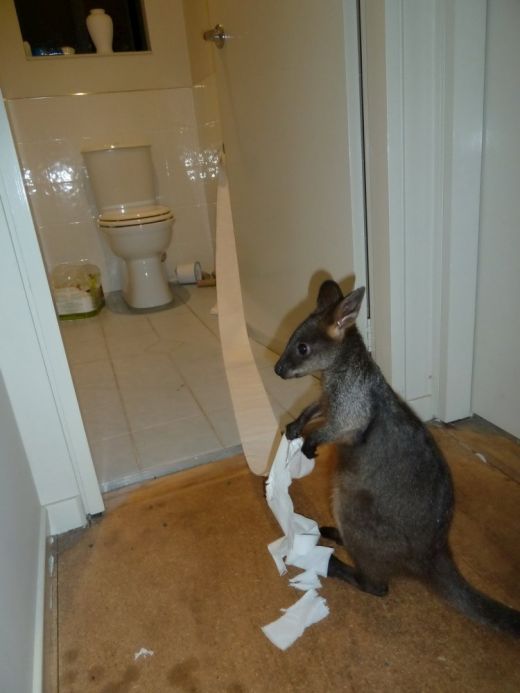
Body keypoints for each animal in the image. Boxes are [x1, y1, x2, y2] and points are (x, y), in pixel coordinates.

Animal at [274, 279, 520, 636]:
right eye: (292, 337)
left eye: (303, 348)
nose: (277, 369)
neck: (341, 370)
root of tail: (433, 553)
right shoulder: (328, 399)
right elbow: (313, 409)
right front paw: (294, 427)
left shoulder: (351, 408)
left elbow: (339, 427)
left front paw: (309, 444)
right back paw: (330, 534)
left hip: (355, 508)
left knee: (377, 586)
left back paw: (334, 564)